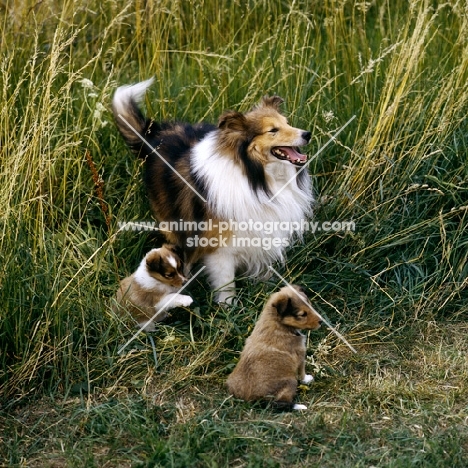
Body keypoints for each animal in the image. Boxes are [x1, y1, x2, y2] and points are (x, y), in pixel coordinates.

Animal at [111, 77, 312, 304]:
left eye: (287, 122)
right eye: (273, 130)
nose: (307, 134)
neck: (257, 177)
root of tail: (155, 134)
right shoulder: (220, 246)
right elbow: (226, 280)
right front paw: (228, 306)